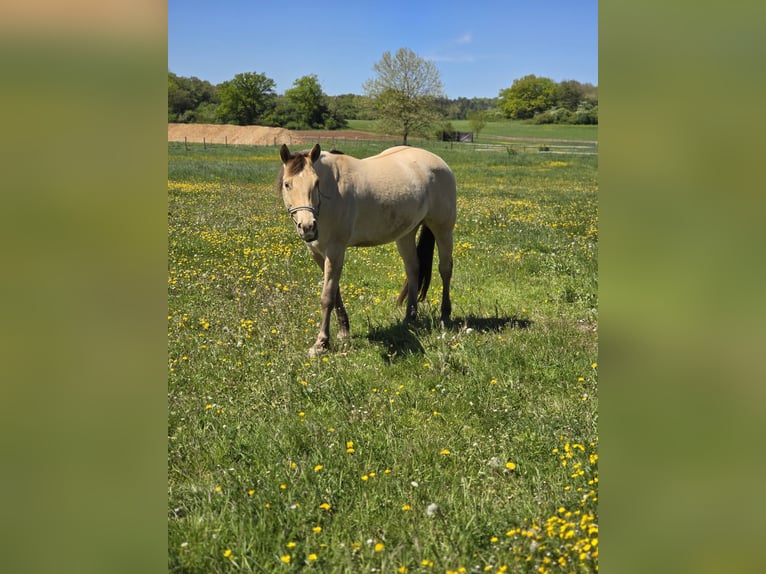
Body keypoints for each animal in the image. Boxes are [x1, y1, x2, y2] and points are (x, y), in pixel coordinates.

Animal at [276, 143, 457, 355]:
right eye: (287, 184)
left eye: (316, 183)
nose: (308, 227)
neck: (331, 193)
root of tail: (440, 163)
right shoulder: (317, 253)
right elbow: (335, 292)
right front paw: (343, 331)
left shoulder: (335, 250)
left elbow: (327, 297)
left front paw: (321, 343)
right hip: (406, 234)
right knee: (413, 269)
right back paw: (409, 318)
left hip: (443, 229)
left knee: (445, 269)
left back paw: (445, 316)